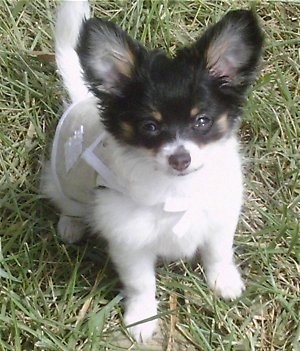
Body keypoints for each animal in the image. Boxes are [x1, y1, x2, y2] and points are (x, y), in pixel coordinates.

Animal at [42, 0, 262, 340]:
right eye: (150, 126)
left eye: (202, 121)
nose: (180, 159)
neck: (177, 188)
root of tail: (81, 100)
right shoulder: (130, 241)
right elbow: (141, 283)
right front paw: (142, 319)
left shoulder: (219, 216)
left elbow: (218, 252)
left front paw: (223, 281)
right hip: (68, 178)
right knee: (68, 202)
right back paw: (71, 225)